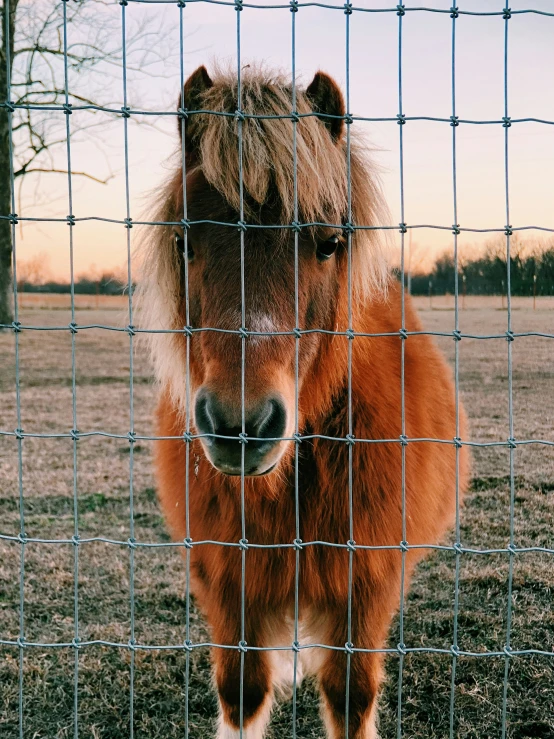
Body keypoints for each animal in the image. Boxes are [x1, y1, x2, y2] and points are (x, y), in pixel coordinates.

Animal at [140, 65, 468, 739]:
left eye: (328, 243)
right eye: (185, 241)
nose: (242, 424)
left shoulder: (364, 587)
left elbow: (350, 696)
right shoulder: (228, 582)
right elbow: (241, 693)